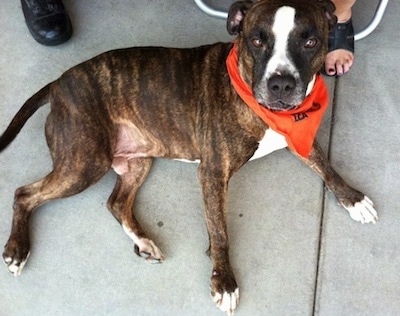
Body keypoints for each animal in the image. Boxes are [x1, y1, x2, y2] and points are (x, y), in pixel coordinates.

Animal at [0, 1, 376, 314]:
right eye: (257, 41)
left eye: (310, 42)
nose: (281, 84)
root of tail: (57, 84)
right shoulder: (212, 173)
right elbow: (220, 232)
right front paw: (224, 282)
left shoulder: (300, 139)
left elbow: (327, 167)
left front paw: (353, 199)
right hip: (84, 161)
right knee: (25, 193)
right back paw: (17, 249)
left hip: (137, 160)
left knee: (116, 202)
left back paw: (143, 242)